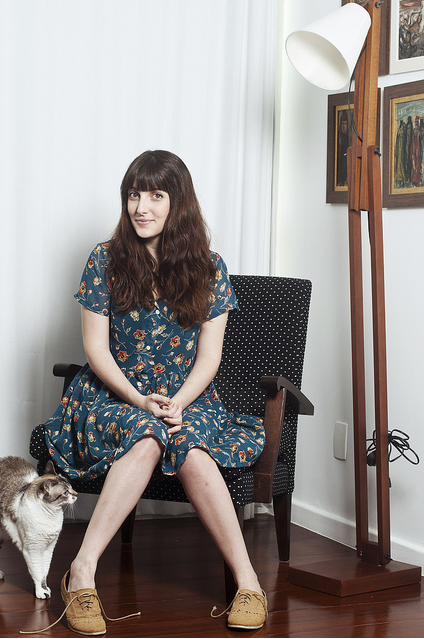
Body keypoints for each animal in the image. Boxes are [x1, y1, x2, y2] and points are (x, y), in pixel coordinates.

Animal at [0, 456, 77, 598]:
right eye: (65, 492)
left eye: (71, 487)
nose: (76, 494)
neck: (51, 516)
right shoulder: (32, 549)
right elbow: (37, 572)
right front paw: (41, 592)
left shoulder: (49, 548)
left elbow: (44, 572)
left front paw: (45, 588)